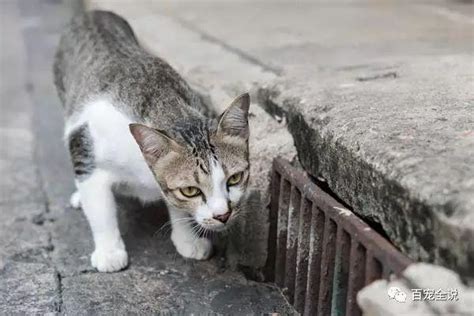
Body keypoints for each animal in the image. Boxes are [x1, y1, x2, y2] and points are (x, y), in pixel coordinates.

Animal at [53, 9, 250, 272]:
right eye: (191, 190)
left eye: (235, 178)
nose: (223, 215)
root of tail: (93, 12)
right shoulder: (85, 145)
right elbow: (100, 209)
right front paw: (109, 251)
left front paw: (187, 239)